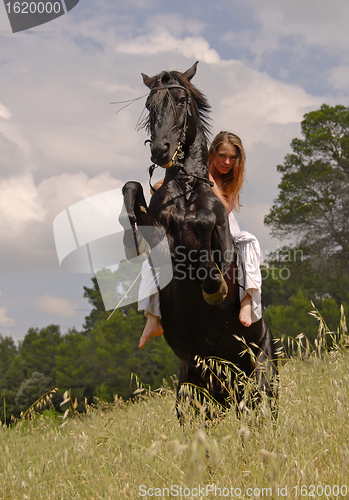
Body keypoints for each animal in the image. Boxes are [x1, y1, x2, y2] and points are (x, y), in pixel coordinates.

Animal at [119, 61, 278, 414]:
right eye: (149, 105)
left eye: (180, 101)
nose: (160, 149)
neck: (188, 188)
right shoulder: (161, 235)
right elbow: (132, 188)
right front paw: (130, 239)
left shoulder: (222, 245)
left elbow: (206, 224)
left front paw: (214, 288)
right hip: (191, 394)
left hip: (260, 382)